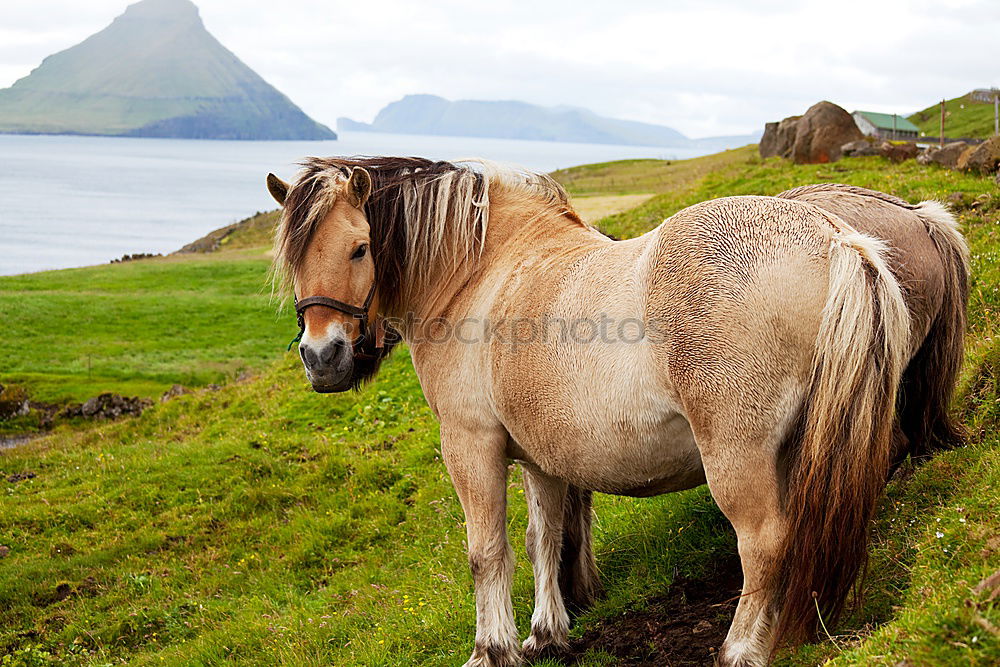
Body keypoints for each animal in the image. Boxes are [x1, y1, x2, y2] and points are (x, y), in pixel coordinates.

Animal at [266, 158, 968, 667]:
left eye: (360, 248)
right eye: (296, 257)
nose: (322, 358)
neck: (484, 273)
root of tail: (839, 239)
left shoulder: (471, 446)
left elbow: (487, 551)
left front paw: (491, 650)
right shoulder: (541, 456)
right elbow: (544, 539)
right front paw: (546, 634)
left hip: (739, 458)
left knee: (766, 540)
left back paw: (742, 649)